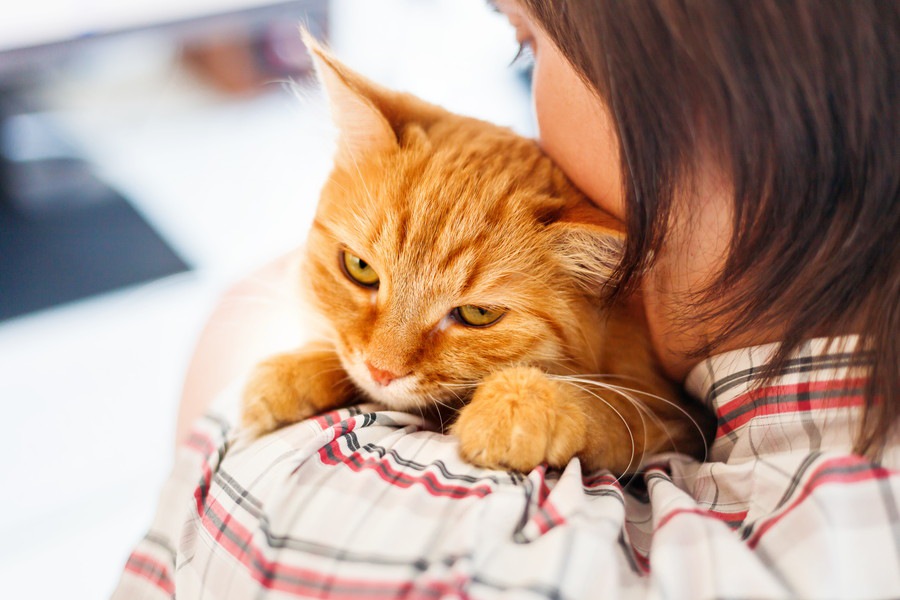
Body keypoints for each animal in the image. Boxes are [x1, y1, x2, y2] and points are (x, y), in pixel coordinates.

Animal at [237, 35, 712, 476]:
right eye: (360, 270)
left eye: (478, 314)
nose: (381, 371)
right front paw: (296, 371)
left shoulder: (679, 418)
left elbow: (615, 406)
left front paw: (522, 403)